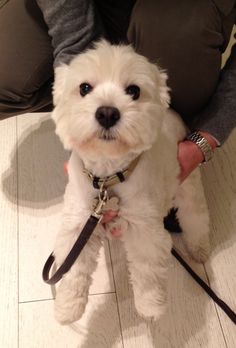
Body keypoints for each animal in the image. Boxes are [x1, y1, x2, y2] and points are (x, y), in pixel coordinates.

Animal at [50, 40, 209, 324]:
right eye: (84, 88)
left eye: (133, 91)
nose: (107, 112)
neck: (108, 177)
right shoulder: (78, 224)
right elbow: (73, 270)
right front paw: (68, 308)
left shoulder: (145, 228)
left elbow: (147, 272)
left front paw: (150, 306)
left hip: (188, 187)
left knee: (196, 217)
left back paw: (199, 248)